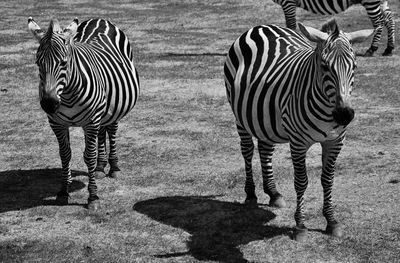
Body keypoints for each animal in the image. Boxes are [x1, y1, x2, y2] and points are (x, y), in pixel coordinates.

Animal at [27, 17, 140, 211]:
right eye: (37, 63)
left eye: (64, 63)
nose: (49, 104)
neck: (66, 95)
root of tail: (100, 19)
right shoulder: (57, 123)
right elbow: (65, 155)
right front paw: (63, 192)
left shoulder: (91, 121)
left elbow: (89, 156)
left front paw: (93, 196)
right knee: (102, 132)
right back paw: (101, 167)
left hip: (114, 107)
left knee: (111, 130)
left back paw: (113, 167)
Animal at [223, 19, 374, 242]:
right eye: (324, 66)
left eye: (354, 66)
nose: (344, 115)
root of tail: (260, 26)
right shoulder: (298, 142)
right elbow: (301, 182)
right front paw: (301, 226)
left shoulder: (335, 141)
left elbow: (328, 180)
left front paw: (331, 221)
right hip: (240, 117)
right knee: (248, 151)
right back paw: (251, 194)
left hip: (267, 118)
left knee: (265, 150)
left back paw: (273, 193)